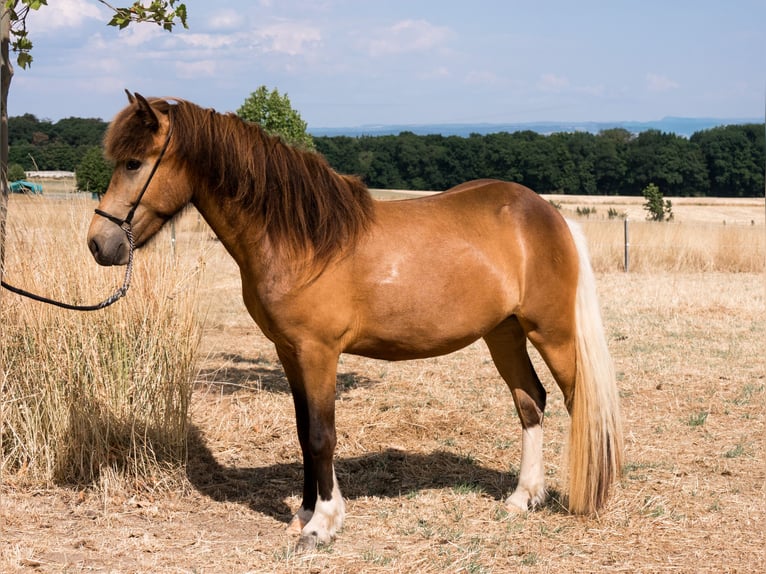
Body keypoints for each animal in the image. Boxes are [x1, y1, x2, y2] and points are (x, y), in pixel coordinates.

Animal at [87, 92, 623, 550]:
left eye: (134, 162)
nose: (98, 243)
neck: (302, 240)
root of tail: (550, 215)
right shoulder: (289, 352)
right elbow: (304, 430)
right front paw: (305, 512)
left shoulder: (319, 352)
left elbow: (322, 435)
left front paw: (322, 524)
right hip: (504, 333)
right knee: (531, 401)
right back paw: (522, 497)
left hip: (551, 332)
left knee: (579, 403)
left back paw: (592, 498)